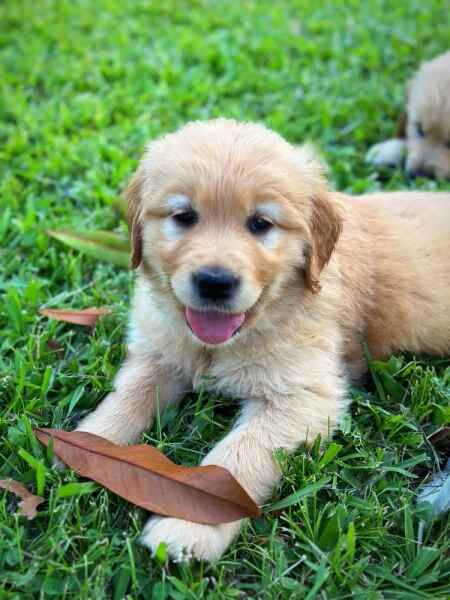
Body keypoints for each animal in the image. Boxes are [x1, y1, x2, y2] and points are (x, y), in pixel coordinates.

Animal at [75, 118, 448, 564]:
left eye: (260, 224)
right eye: (183, 216)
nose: (214, 282)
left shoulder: (302, 397)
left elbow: (238, 457)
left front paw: (189, 527)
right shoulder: (160, 351)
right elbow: (129, 394)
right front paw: (89, 443)